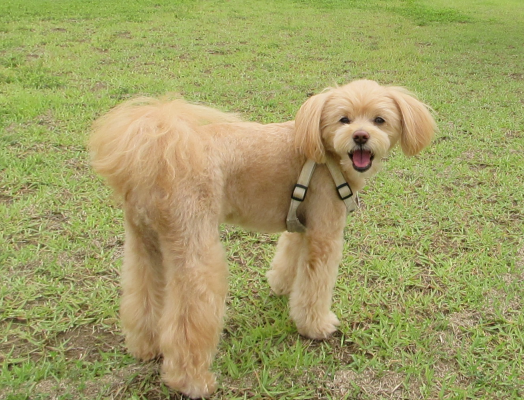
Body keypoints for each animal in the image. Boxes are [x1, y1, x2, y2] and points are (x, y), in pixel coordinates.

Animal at [89, 80, 436, 398]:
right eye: (344, 120)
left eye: (379, 120)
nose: (360, 136)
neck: (324, 152)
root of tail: (157, 155)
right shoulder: (324, 231)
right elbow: (317, 284)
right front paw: (315, 325)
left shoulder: (301, 222)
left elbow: (290, 258)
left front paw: (282, 287)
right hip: (195, 249)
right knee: (188, 321)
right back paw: (192, 381)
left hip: (144, 243)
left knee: (142, 296)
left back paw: (146, 347)